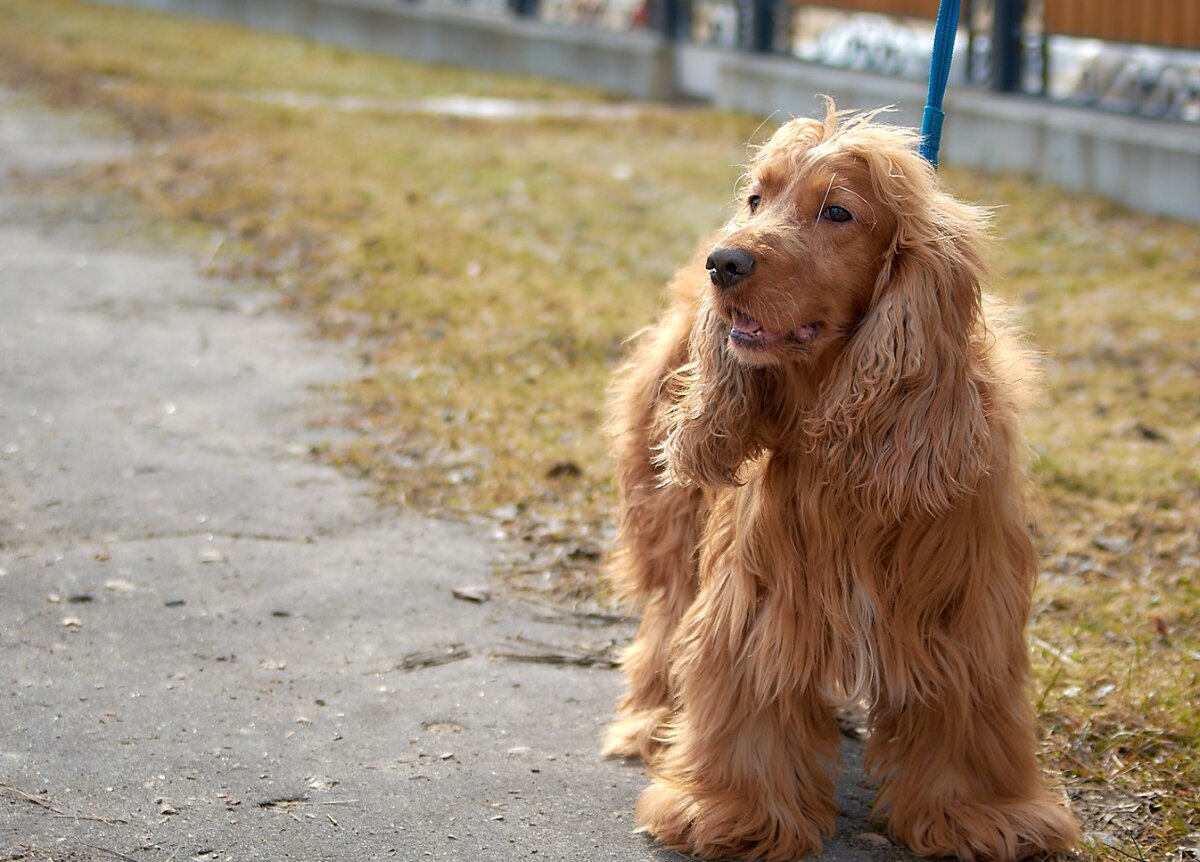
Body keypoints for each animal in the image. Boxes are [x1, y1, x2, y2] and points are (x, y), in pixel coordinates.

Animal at [604, 103, 1084, 862]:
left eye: (837, 211)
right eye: (757, 198)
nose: (724, 262)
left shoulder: (959, 601)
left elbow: (965, 708)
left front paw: (979, 814)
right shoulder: (761, 590)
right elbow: (746, 682)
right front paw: (731, 809)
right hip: (671, 505)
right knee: (665, 616)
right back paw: (653, 720)